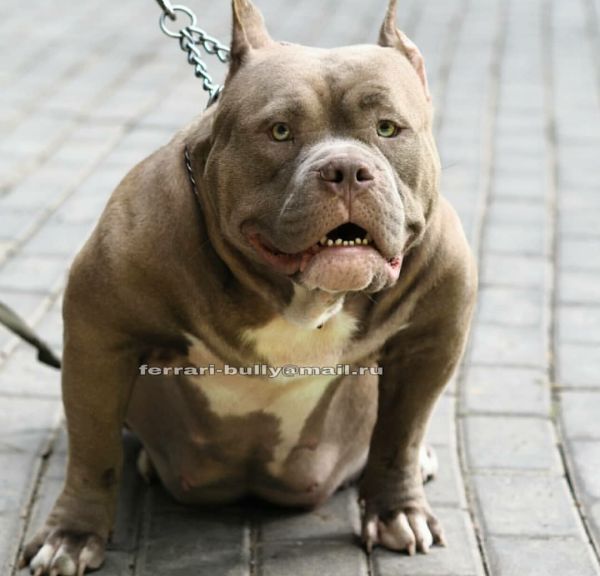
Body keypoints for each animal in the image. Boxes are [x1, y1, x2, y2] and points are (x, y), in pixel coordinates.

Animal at [22, 0, 477, 573]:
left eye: (388, 128)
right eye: (279, 131)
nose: (348, 169)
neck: (302, 301)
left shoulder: (432, 339)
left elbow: (401, 438)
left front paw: (398, 510)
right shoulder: (99, 335)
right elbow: (92, 450)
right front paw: (72, 535)